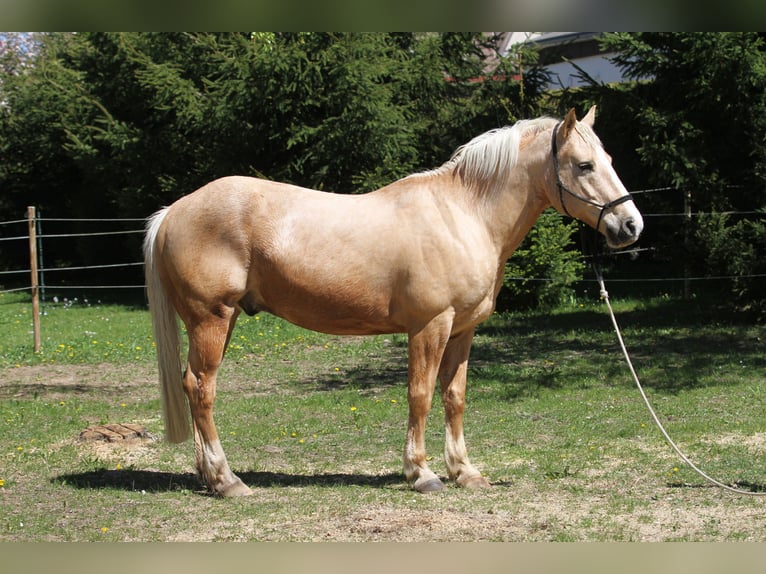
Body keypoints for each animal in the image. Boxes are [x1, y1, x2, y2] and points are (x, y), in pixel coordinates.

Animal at [143, 106, 643, 497]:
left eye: (608, 160)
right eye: (583, 165)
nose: (630, 225)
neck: (464, 215)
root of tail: (174, 211)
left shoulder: (463, 330)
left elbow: (454, 397)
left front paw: (464, 472)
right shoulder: (430, 326)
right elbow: (419, 395)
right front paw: (422, 473)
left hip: (220, 322)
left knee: (192, 384)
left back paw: (209, 477)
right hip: (211, 319)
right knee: (202, 389)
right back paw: (228, 481)